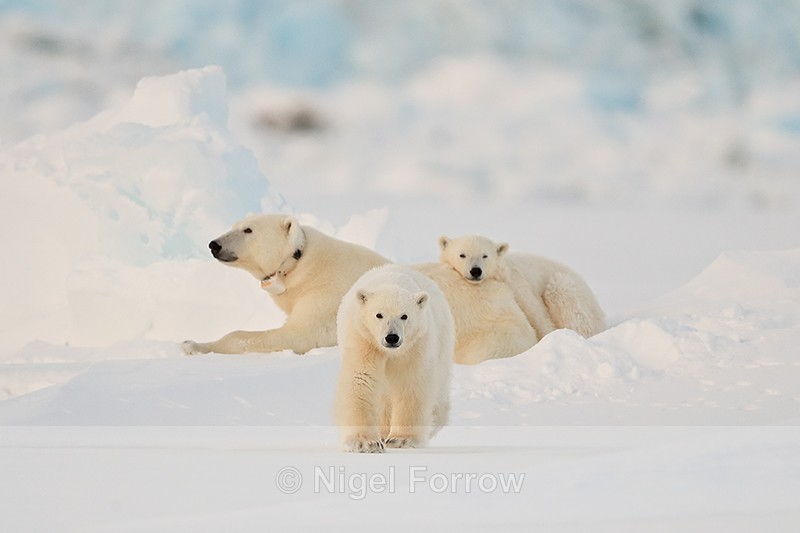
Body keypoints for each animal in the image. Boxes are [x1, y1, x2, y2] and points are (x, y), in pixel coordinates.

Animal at [182, 213, 389, 355]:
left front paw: (193, 345)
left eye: (248, 229)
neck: (300, 264)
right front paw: (191, 342)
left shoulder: (327, 295)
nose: (214, 245)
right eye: (234, 225)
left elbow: (299, 334)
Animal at [335, 264, 454, 453]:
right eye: (379, 315)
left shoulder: (414, 346)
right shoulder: (363, 338)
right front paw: (365, 443)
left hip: (442, 343)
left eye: (404, 316)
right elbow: (361, 379)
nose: (392, 337)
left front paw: (402, 440)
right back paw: (383, 433)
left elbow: (410, 383)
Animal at [439, 234, 606, 340]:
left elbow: (538, 314)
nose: (475, 271)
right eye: (462, 255)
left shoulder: (518, 284)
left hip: (573, 293)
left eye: (485, 255)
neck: (502, 275)